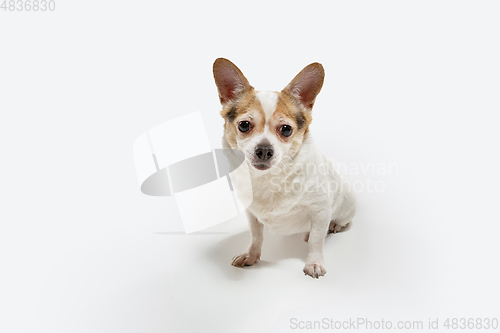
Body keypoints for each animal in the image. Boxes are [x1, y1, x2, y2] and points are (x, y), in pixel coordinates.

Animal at [212, 57, 356, 278]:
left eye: (286, 129)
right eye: (244, 125)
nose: (264, 150)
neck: (270, 178)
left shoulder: (321, 210)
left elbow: (316, 240)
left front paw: (314, 262)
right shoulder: (251, 213)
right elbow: (256, 235)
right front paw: (251, 255)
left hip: (347, 205)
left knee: (339, 223)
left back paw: (333, 225)